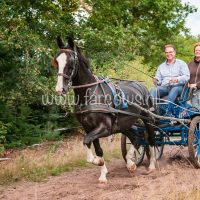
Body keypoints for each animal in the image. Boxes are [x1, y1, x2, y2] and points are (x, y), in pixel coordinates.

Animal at [52, 37, 156, 183]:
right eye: (56, 61)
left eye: (71, 61)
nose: (60, 89)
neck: (90, 94)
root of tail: (141, 85)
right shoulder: (89, 128)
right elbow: (97, 148)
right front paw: (102, 173)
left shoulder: (104, 128)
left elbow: (86, 142)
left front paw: (96, 161)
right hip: (124, 124)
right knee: (136, 138)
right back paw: (131, 163)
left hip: (147, 118)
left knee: (150, 139)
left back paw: (151, 165)